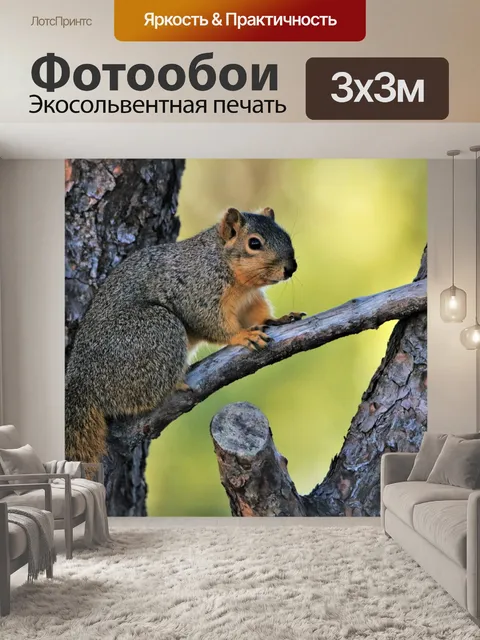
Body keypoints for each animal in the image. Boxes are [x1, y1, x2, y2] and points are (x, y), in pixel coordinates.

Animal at [65, 207, 304, 462]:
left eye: (286, 236)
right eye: (254, 243)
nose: (291, 268)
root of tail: (82, 378)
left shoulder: (249, 301)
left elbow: (259, 315)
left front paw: (277, 319)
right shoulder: (197, 293)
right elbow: (211, 323)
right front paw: (241, 336)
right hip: (157, 330)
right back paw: (174, 385)